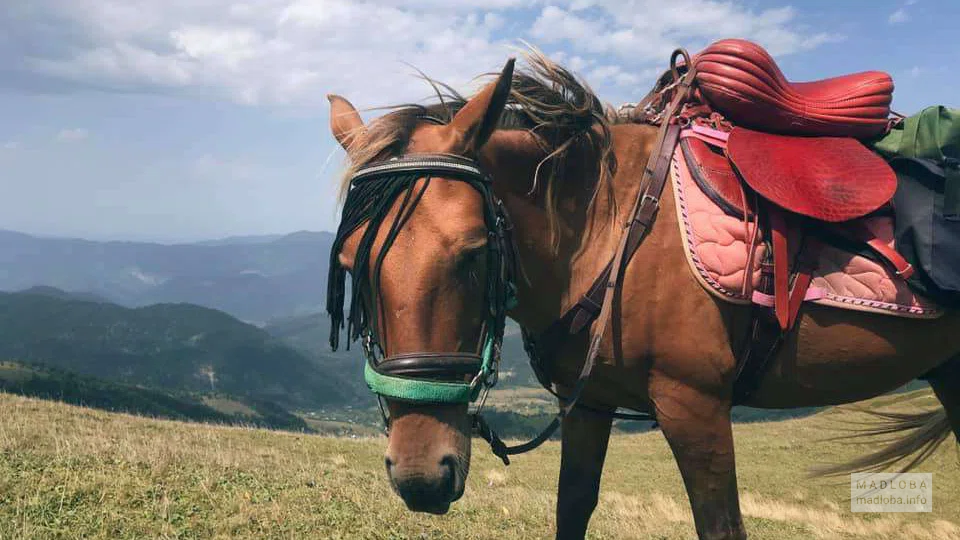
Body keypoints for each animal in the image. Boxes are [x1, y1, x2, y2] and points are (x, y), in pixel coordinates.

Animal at [324, 51, 960, 540]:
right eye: (352, 264)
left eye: (475, 252)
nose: (421, 477)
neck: (607, 229)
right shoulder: (589, 405)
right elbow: (572, 510)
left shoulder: (695, 407)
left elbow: (720, 526)